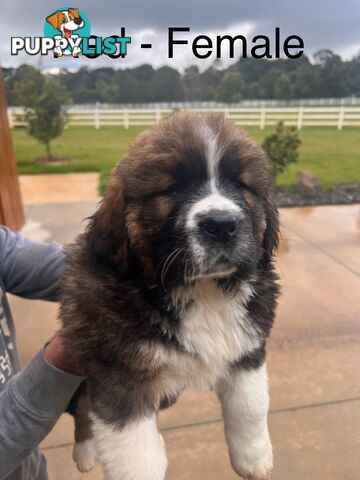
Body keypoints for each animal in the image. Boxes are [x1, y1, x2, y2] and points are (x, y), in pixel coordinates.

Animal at [60, 113, 280, 480]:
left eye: (241, 185)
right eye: (172, 188)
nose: (221, 225)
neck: (202, 290)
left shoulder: (247, 347)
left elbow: (250, 406)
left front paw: (254, 460)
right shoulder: (118, 372)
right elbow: (135, 458)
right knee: (81, 406)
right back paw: (85, 452)